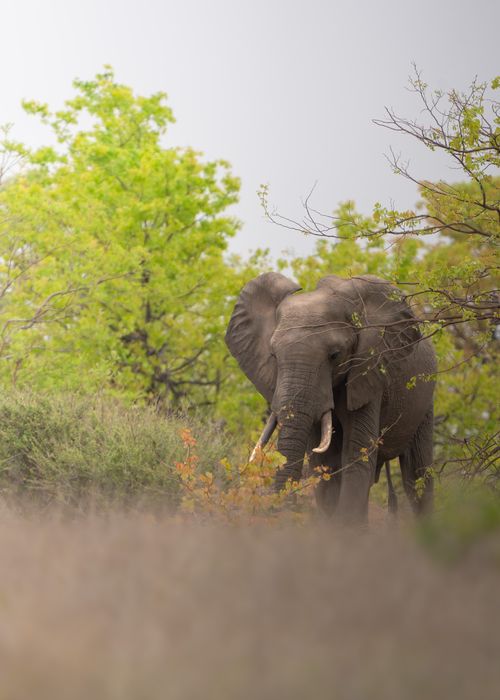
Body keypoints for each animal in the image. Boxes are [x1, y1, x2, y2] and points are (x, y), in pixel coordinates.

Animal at [225, 272, 436, 524]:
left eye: (335, 355)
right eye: (273, 355)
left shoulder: (369, 370)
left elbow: (356, 454)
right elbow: (325, 465)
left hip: (426, 400)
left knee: (417, 477)